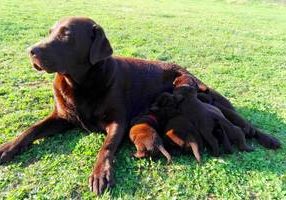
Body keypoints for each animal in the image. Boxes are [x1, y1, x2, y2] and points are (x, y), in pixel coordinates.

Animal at [0, 16, 282, 195]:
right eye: (50, 32)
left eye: (66, 35)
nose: (31, 50)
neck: (81, 83)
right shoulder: (61, 117)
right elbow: (30, 130)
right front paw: (7, 147)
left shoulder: (118, 121)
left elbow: (106, 147)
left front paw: (101, 174)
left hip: (216, 99)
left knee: (246, 124)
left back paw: (269, 139)